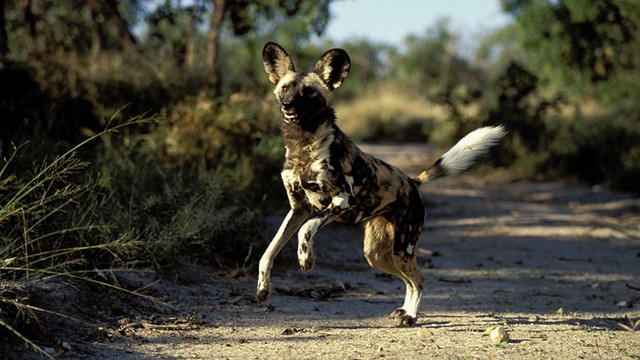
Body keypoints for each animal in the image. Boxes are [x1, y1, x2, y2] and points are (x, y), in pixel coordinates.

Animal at [255, 42, 504, 326]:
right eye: (285, 87)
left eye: (308, 91)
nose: (287, 104)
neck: (303, 146)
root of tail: (412, 182)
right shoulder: (298, 209)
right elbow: (268, 252)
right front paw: (263, 289)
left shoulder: (342, 201)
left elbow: (306, 230)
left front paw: (306, 259)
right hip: (378, 256)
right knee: (408, 280)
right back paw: (404, 311)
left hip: (403, 248)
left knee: (419, 280)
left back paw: (411, 316)